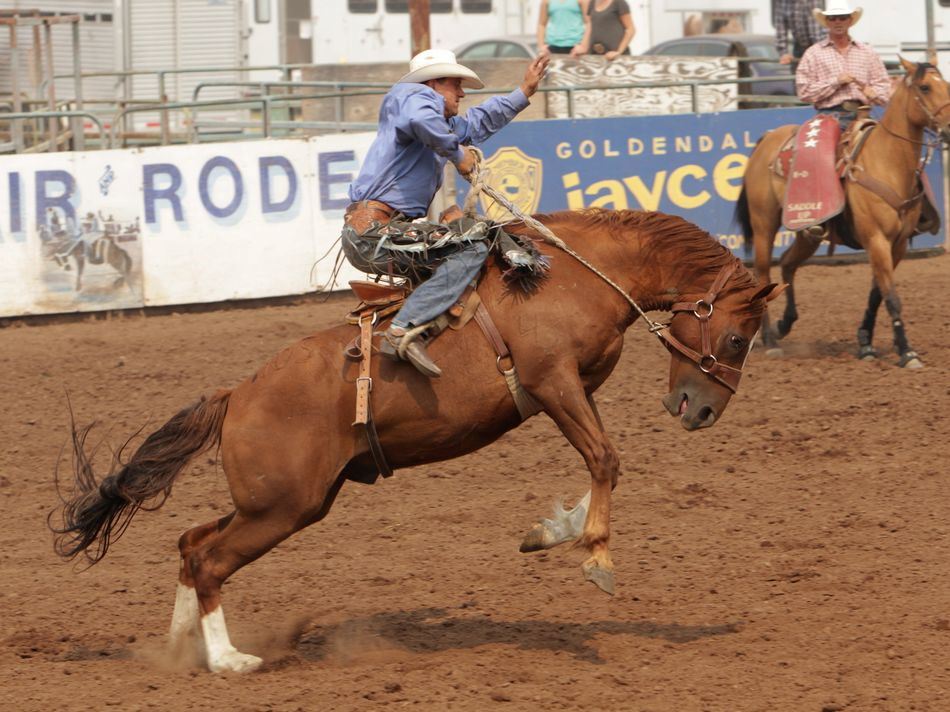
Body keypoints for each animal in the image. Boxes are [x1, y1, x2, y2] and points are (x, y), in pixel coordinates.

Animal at [49, 208, 782, 673]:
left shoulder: (574, 391)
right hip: (282, 508)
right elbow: (605, 456)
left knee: (190, 542)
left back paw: (181, 652)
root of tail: (239, 393)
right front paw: (596, 556)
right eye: (737, 338)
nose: (702, 410)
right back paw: (229, 660)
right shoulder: (553, 382)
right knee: (208, 559)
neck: (574, 273)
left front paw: (553, 530)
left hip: (282, 501)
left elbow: (597, 459)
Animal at [735, 57, 950, 367]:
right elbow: (891, 296)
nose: (948, 128)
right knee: (763, 275)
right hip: (764, 224)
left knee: (788, 263)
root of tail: (767, 139)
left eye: (946, 85)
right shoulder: (876, 240)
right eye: (924, 87)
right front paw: (906, 352)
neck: (888, 162)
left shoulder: (896, 245)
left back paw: (783, 325)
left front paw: (865, 344)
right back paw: (770, 341)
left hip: (809, 234)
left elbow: (877, 293)